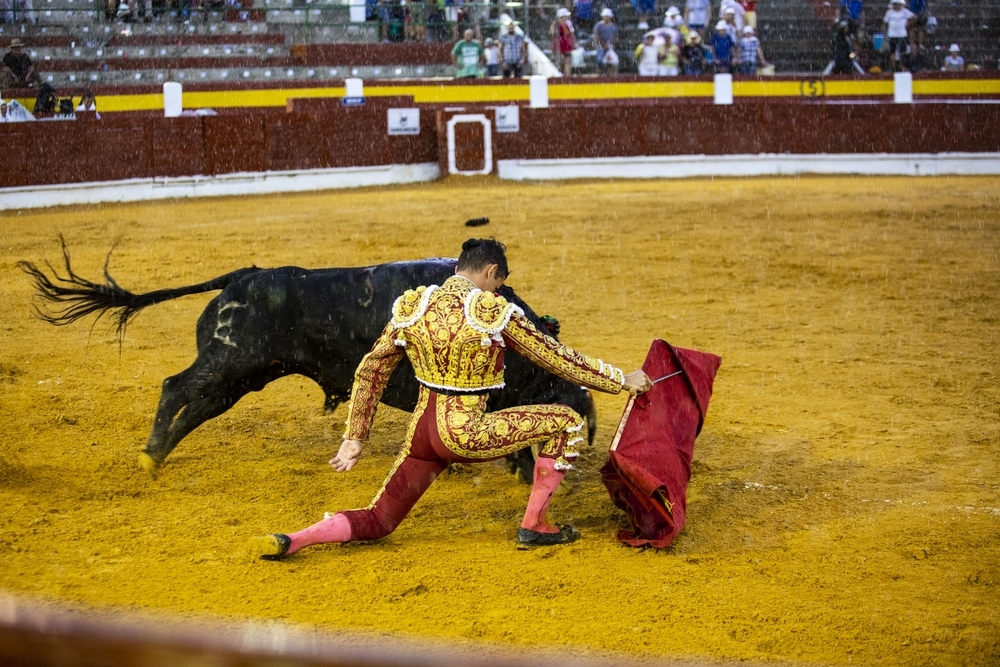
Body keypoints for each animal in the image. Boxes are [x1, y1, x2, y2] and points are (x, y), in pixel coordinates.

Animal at [19, 249, 596, 474]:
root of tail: (245, 276)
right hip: (229, 361)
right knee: (175, 387)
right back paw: (149, 455)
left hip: (244, 376)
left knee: (198, 406)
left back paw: (157, 457)